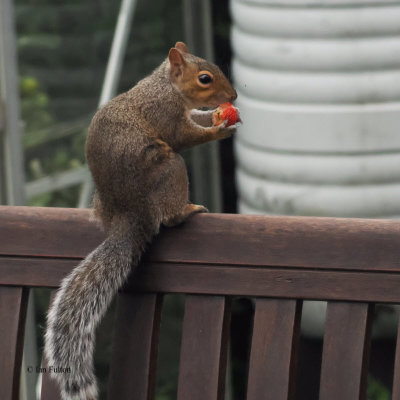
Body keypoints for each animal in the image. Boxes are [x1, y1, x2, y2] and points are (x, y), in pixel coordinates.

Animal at [44, 41, 238, 400]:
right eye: (205, 78)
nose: (232, 96)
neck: (167, 86)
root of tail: (131, 215)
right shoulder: (166, 116)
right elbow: (185, 135)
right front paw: (220, 127)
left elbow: (196, 117)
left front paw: (217, 115)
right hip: (170, 170)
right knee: (169, 216)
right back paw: (187, 210)